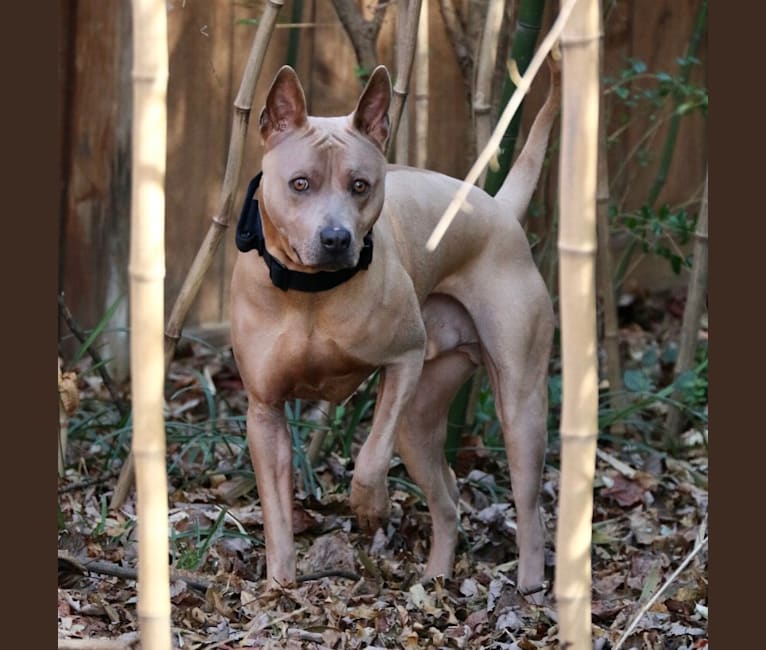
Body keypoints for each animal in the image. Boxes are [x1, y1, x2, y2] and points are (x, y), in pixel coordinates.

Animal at [231, 63, 560, 596]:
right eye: (300, 184)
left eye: (361, 185)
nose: (336, 238)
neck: (310, 293)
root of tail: (497, 206)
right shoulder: (265, 411)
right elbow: (276, 513)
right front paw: (280, 584)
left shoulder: (403, 360)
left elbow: (369, 457)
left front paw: (370, 508)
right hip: (419, 423)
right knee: (448, 502)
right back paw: (437, 577)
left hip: (519, 407)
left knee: (530, 509)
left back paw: (528, 587)